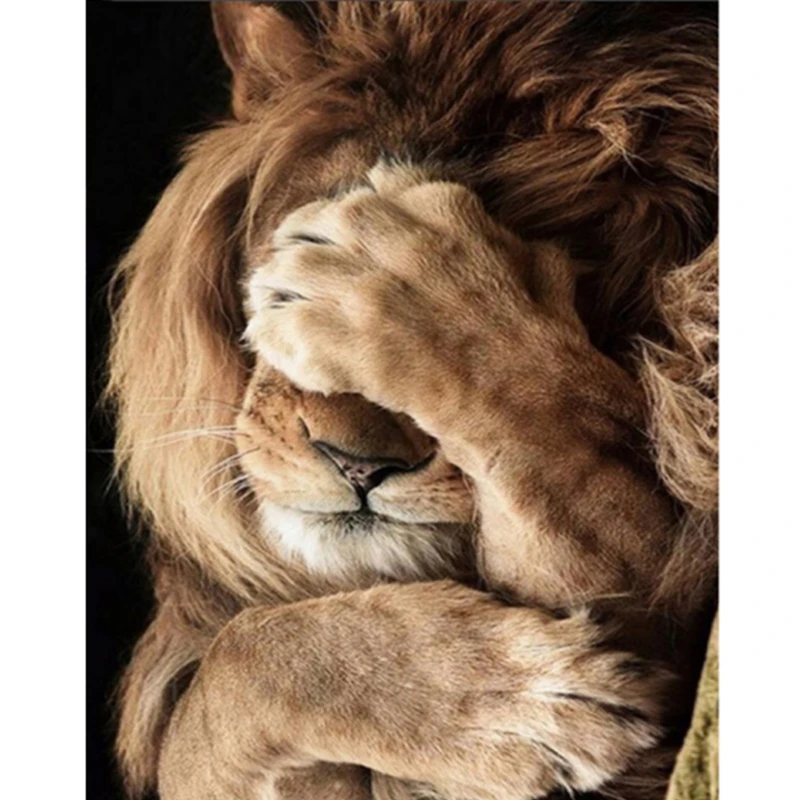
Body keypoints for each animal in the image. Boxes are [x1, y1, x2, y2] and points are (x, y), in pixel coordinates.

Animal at [108, 4, 718, 800]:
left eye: (574, 298)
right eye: (279, 267)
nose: (356, 465)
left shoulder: (666, 636)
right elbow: (229, 673)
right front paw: (513, 705)